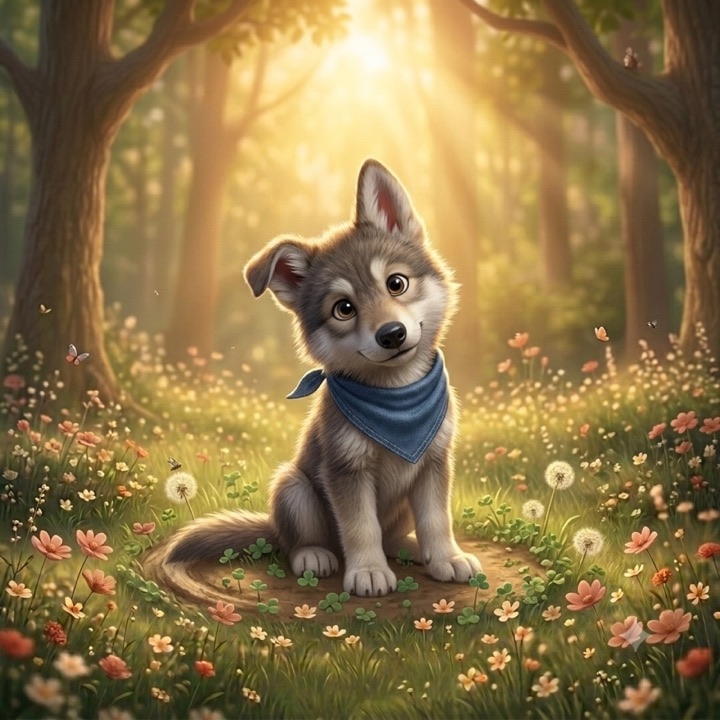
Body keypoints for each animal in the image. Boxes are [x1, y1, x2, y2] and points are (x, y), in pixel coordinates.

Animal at [166, 159, 481, 597]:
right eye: (343, 308)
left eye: (396, 283)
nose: (392, 335)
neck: (395, 397)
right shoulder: (345, 470)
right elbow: (360, 527)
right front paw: (368, 570)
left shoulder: (434, 462)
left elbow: (436, 518)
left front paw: (447, 558)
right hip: (294, 486)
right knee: (300, 540)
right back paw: (314, 556)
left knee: (394, 534)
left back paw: (411, 548)